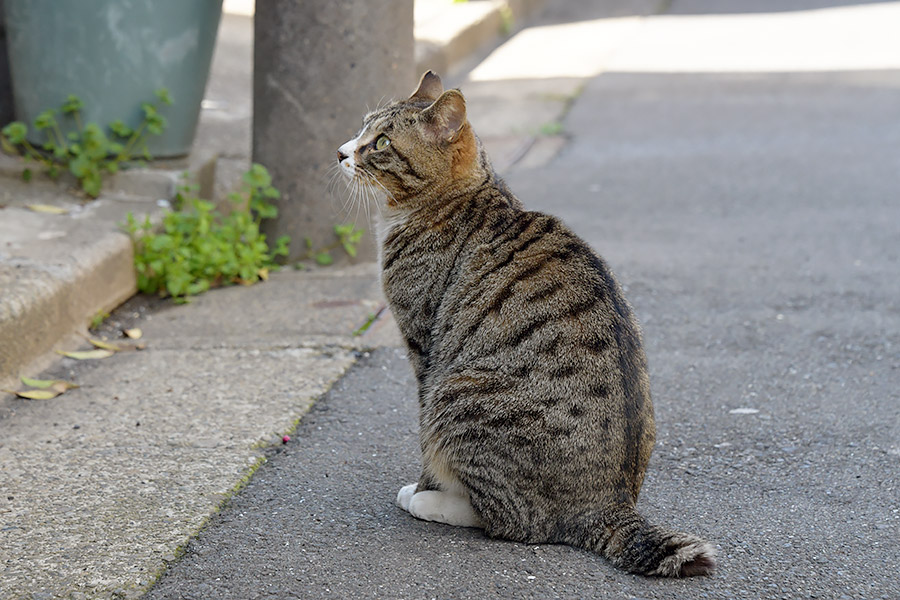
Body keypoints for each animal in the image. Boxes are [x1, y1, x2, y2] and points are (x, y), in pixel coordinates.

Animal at [338, 71, 716, 576]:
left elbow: (424, 444)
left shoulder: (424, 349)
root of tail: (610, 506)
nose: (341, 152)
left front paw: (423, 488)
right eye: (362, 127)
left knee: (510, 521)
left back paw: (433, 504)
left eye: (379, 142)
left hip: (456, 392)